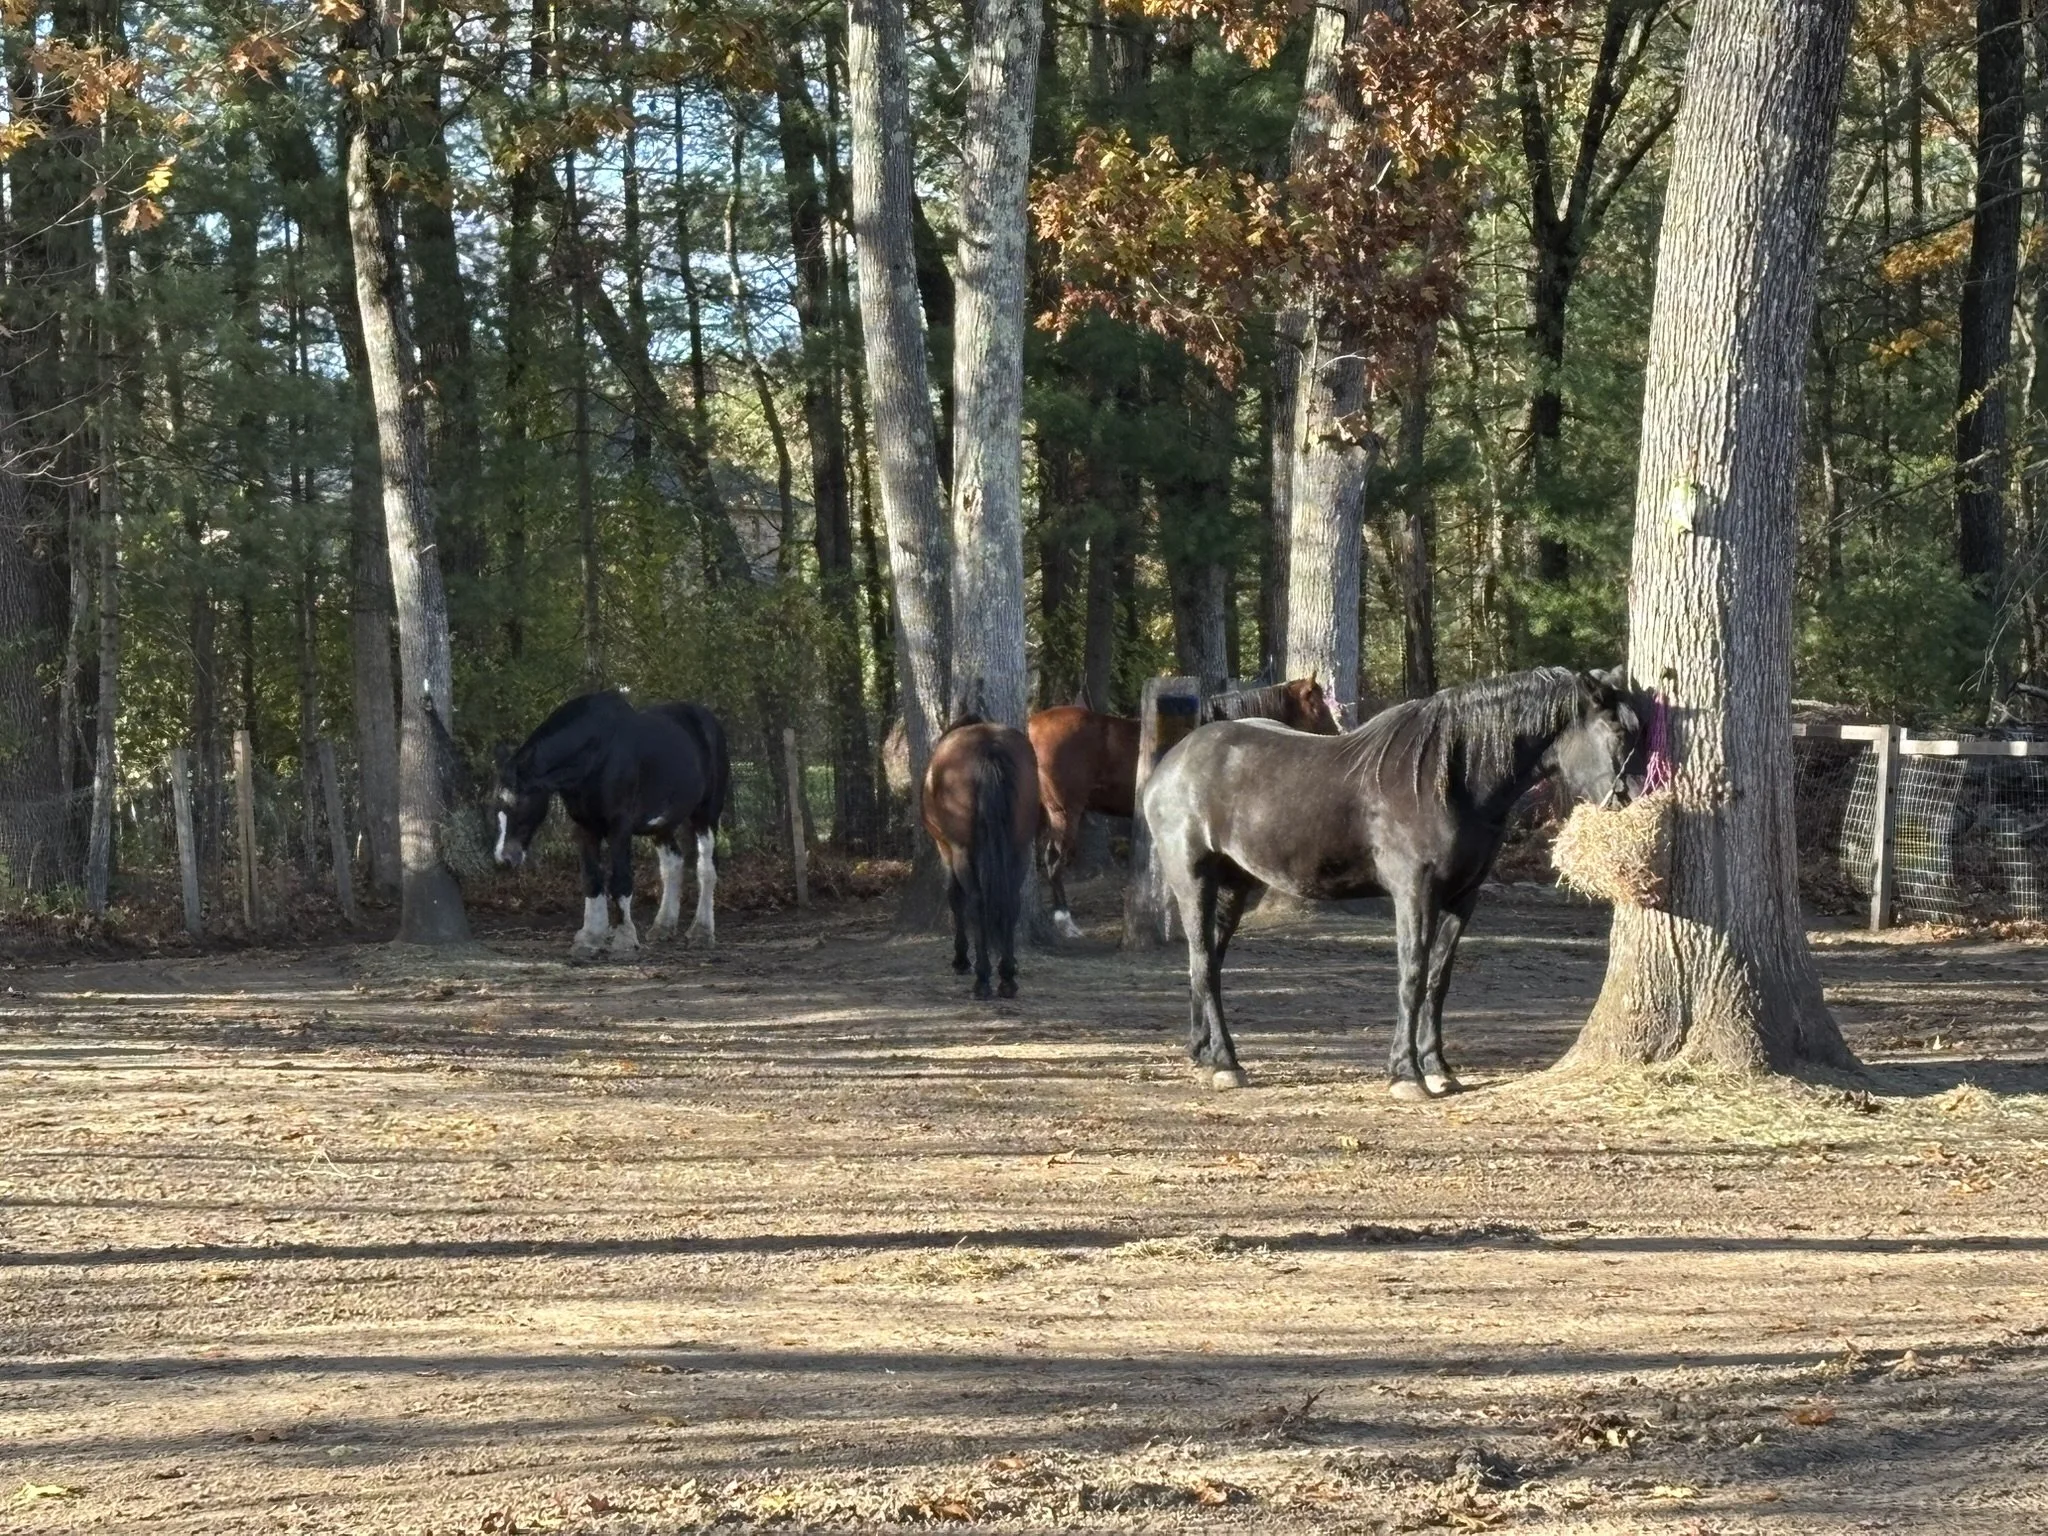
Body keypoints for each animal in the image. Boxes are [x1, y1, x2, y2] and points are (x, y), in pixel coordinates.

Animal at [492, 691, 731, 961]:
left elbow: (620, 880)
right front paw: (590, 938)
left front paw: (624, 939)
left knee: (707, 868)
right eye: (495, 803)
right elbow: (592, 879)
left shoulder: (620, 826)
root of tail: (708, 719)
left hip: (706, 814)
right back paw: (663, 927)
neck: (598, 754)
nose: (504, 858)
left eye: (519, 802)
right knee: (672, 865)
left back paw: (702, 932)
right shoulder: (585, 828)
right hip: (662, 824)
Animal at [922, 717, 1042, 998]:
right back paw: (1007, 976)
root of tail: (989, 746)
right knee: (1012, 901)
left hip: (962, 851)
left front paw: (961, 960)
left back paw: (983, 978)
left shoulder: (946, 848)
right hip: (1019, 848)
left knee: (976, 902)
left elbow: (955, 897)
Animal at [1028, 677, 1340, 939]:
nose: (1336, 735)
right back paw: (1065, 921)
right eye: (1316, 704)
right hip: (1064, 811)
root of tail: (1032, 724)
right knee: (1053, 859)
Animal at [1140, 667, 1641, 1096]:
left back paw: (1203, 1054)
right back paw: (1226, 1063)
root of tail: (1171, 764)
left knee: (1208, 961)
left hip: (1235, 885)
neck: (1450, 779)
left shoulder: (1463, 898)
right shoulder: (1415, 893)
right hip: (1194, 880)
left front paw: (1439, 1068)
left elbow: (1438, 978)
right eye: (1618, 732)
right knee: (1204, 961)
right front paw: (1406, 1073)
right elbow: (1412, 975)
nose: (1631, 800)